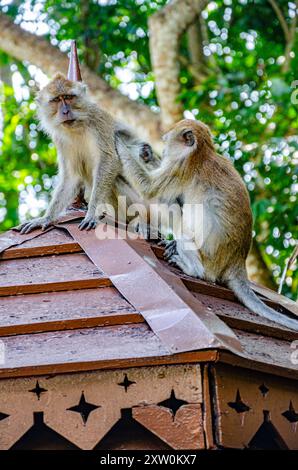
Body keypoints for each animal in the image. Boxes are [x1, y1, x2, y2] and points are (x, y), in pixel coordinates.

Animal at [120, 117, 298, 330]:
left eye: (167, 143)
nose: (162, 153)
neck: (202, 152)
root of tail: (237, 263)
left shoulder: (179, 168)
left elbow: (149, 188)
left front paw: (118, 142)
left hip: (208, 260)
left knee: (172, 211)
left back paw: (193, 269)